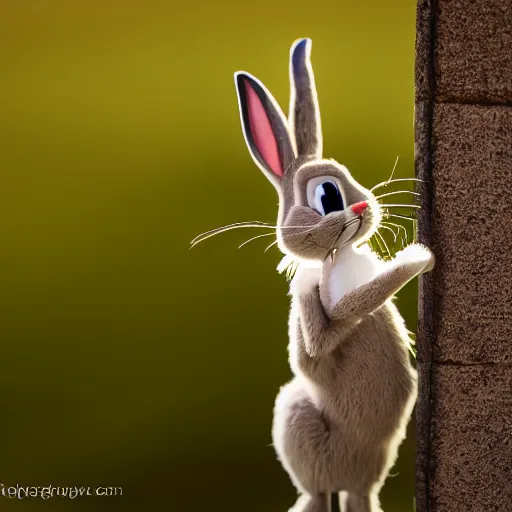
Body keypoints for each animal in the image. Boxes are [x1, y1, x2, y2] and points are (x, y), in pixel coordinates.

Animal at [234, 37, 434, 512]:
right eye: (327, 196)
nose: (362, 206)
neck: (337, 255)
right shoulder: (327, 302)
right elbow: (335, 325)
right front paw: (419, 258)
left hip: (367, 474)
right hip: (301, 425)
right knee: (316, 495)